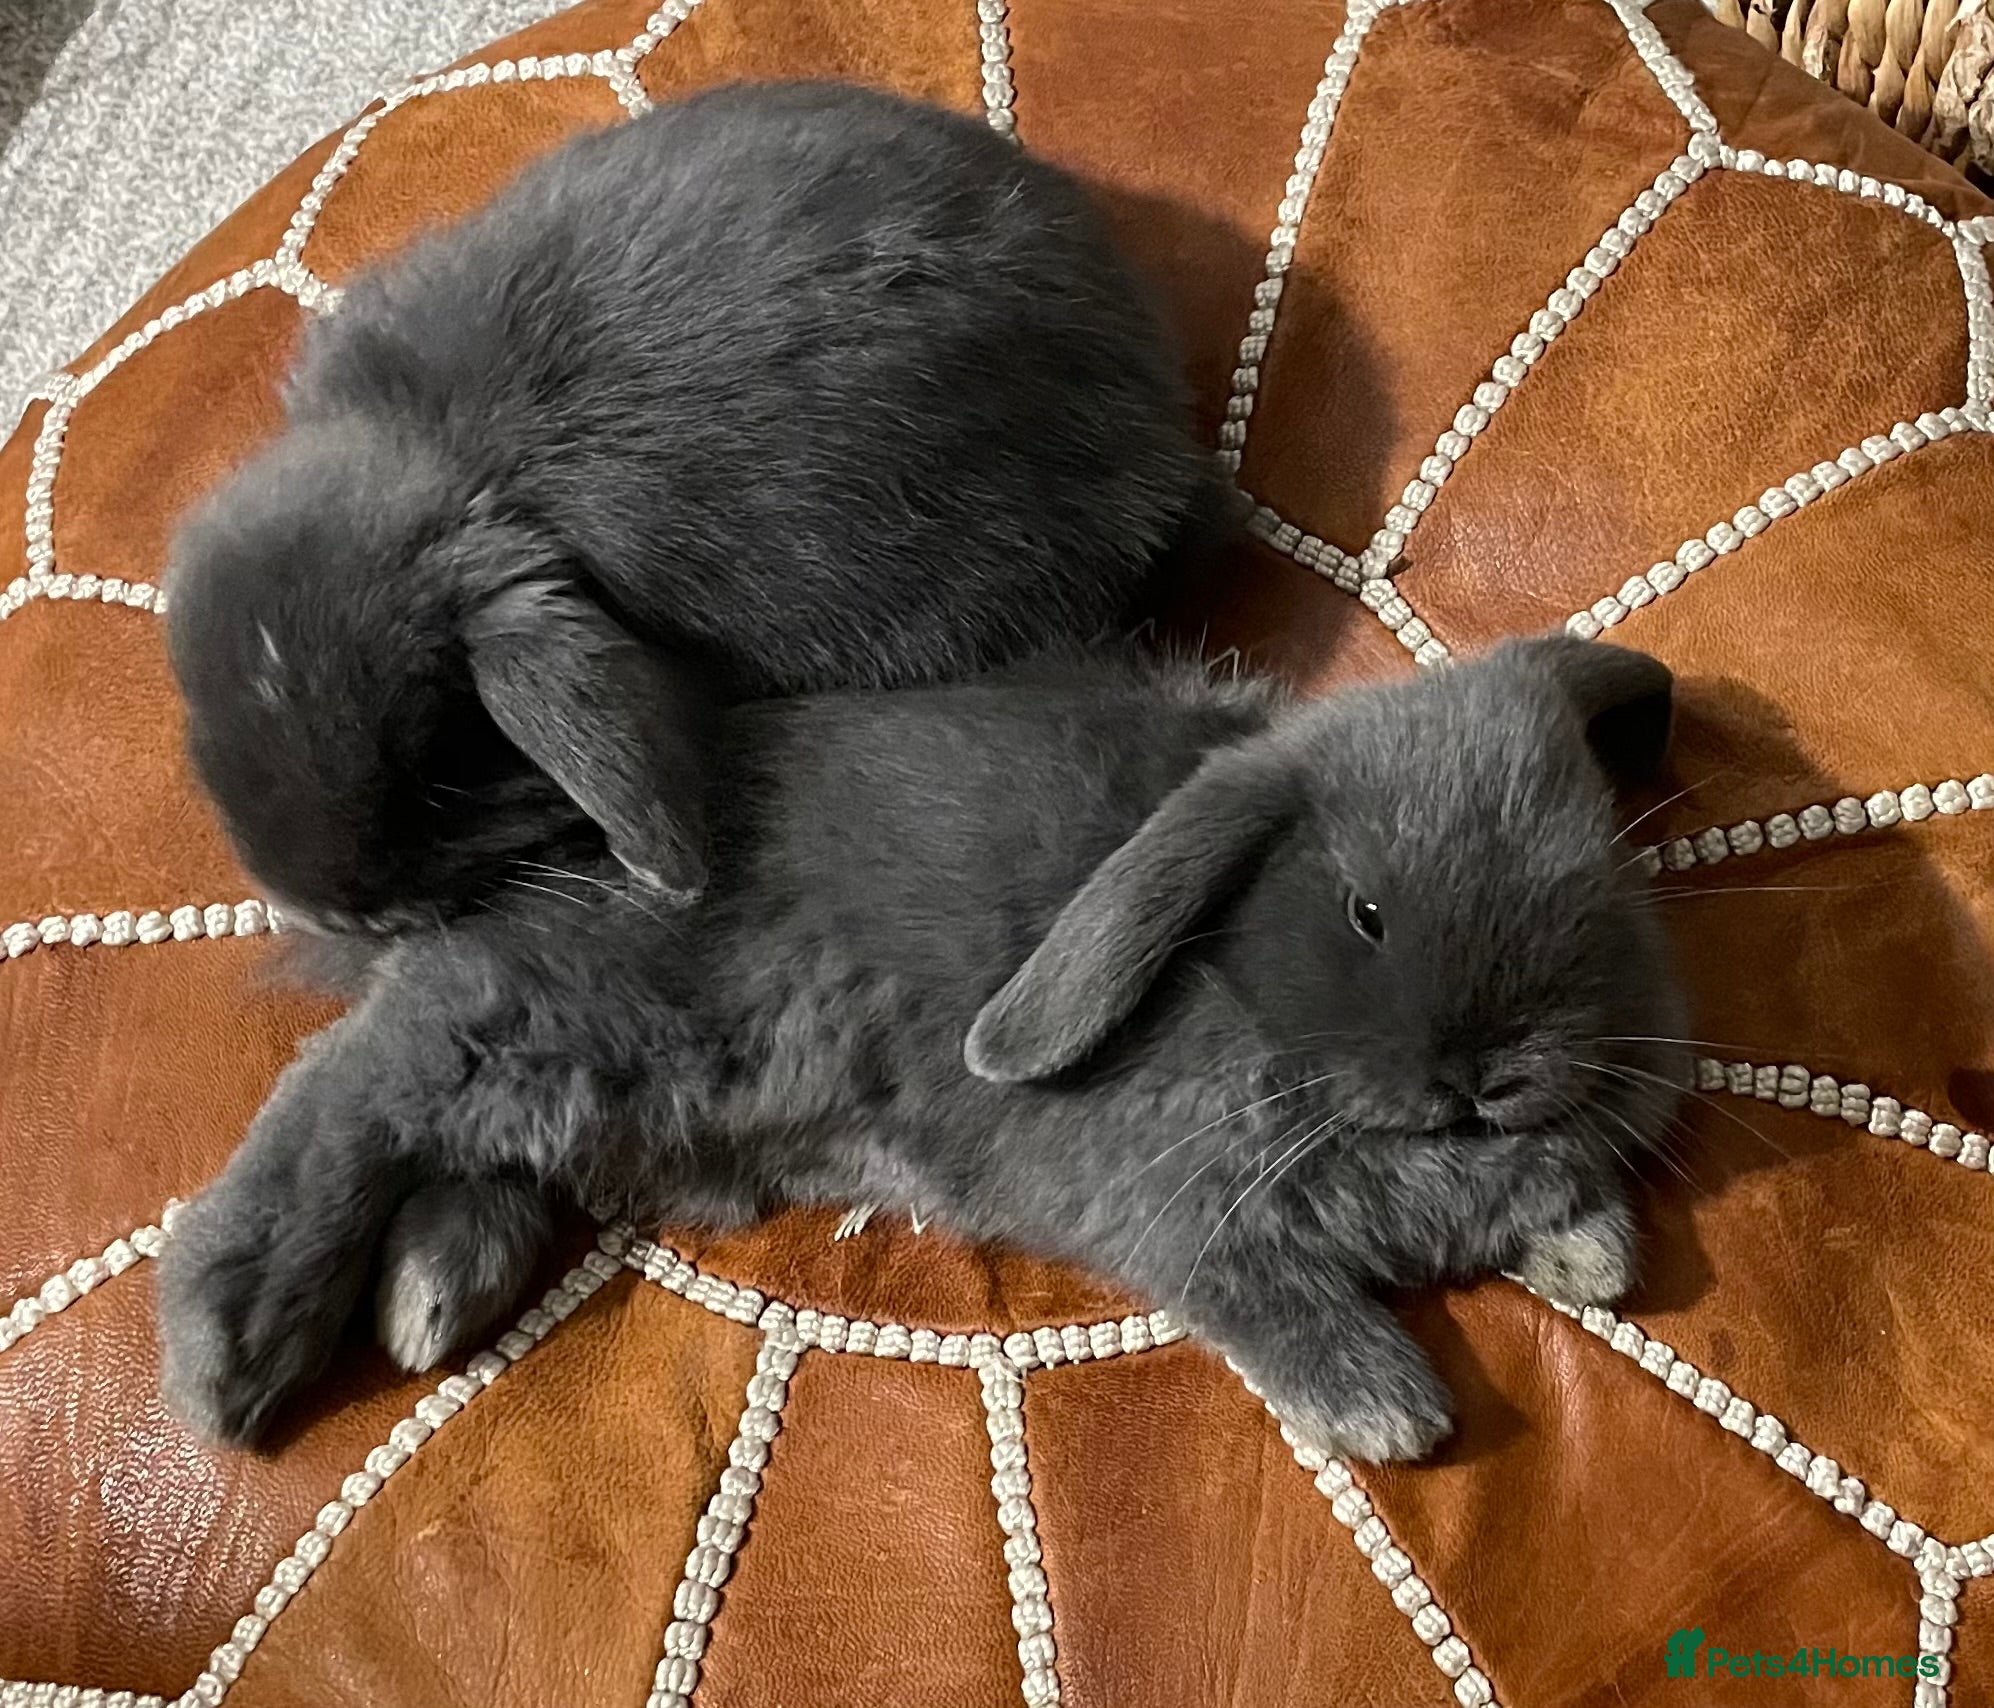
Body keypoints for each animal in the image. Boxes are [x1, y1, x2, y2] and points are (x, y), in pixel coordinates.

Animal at [157, 635, 1689, 1455]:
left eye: (1595, 887)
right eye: (1369, 910)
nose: (1486, 1071)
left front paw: (1587, 1253)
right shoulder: (1180, 1217)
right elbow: (1265, 1294)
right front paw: (1384, 1412)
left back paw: (434, 1288)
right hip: (531, 1025)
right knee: (340, 1102)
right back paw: (235, 1346)